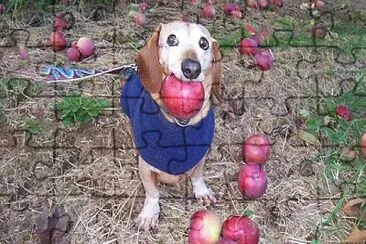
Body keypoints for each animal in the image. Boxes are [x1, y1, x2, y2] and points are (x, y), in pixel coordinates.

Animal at [121, 20, 222, 231]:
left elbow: (197, 175)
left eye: (204, 43)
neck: (180, 125)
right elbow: (152, 192)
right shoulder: (146, 167)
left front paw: (201, 191)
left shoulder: (200, 157)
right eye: (171, 39)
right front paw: (150, 213)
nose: (191, 69)